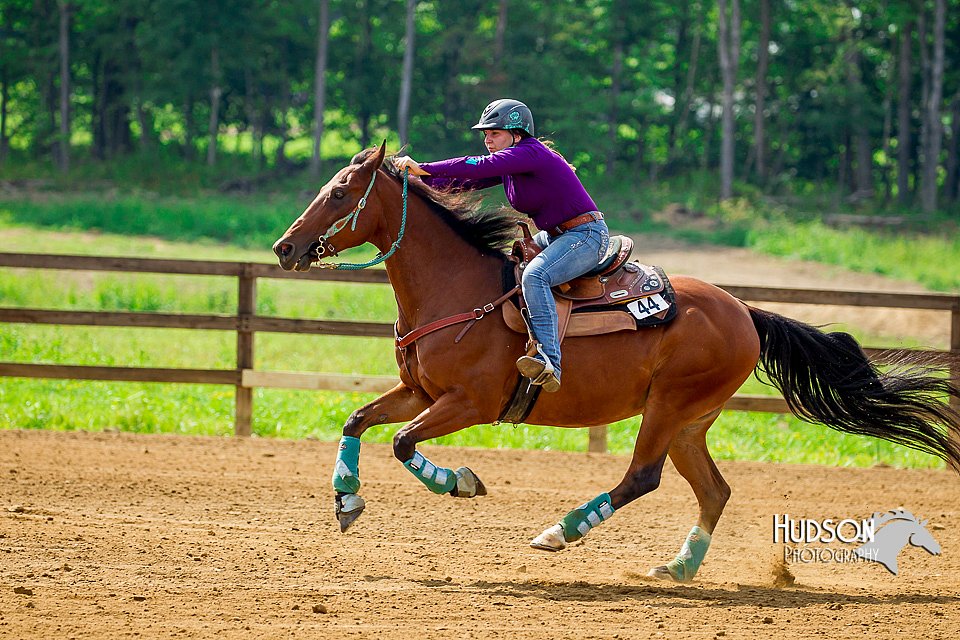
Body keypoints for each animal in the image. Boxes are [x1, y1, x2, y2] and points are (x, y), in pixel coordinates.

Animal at [272, 142, 960, 584]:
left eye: (340, 192)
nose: (284, 247)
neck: (458, 289)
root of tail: (744, 311)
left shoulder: (467, 403)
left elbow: (402, 444)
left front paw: (461, 481)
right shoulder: (418, 392)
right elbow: (359, 420)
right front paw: (346, 502)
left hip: (669, 406)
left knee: (642, 478)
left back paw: (561, 532)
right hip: (690, 421)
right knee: (714, 489)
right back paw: (678, 566)